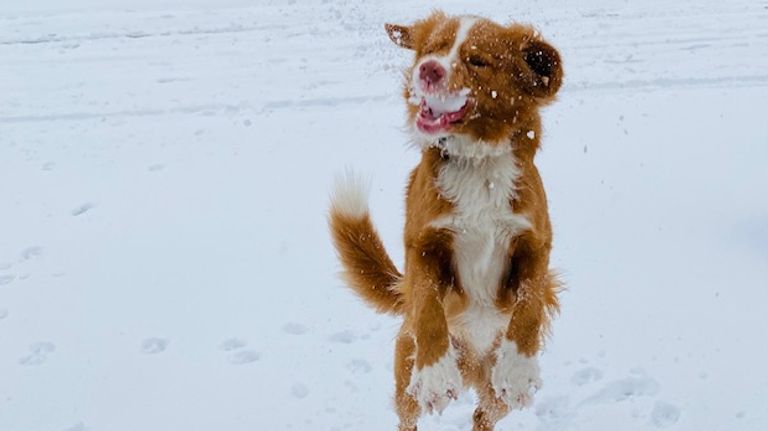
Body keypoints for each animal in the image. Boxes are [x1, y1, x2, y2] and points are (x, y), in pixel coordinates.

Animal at [328, 11, 564, 431]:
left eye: (477, 61)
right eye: (431, 49)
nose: (428, 70)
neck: (476, 164)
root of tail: (473, 368)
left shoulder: (535, 243)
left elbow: (530, 303)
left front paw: (519, 371)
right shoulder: (422, 246)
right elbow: (427, 307)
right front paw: (437, 375)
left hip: (494, 397)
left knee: (482, 413)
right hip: (406, 375)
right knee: (407, 414)